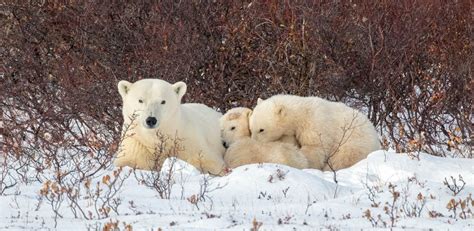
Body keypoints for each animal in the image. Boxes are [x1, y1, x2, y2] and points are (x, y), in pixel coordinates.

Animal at [250, 94, 380, 171]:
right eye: (251, 129)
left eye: (261, 129)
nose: (254, 142)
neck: (301, 113)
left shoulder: (315, 124)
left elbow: (314, 148)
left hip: (353, 143)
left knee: (342, 159)